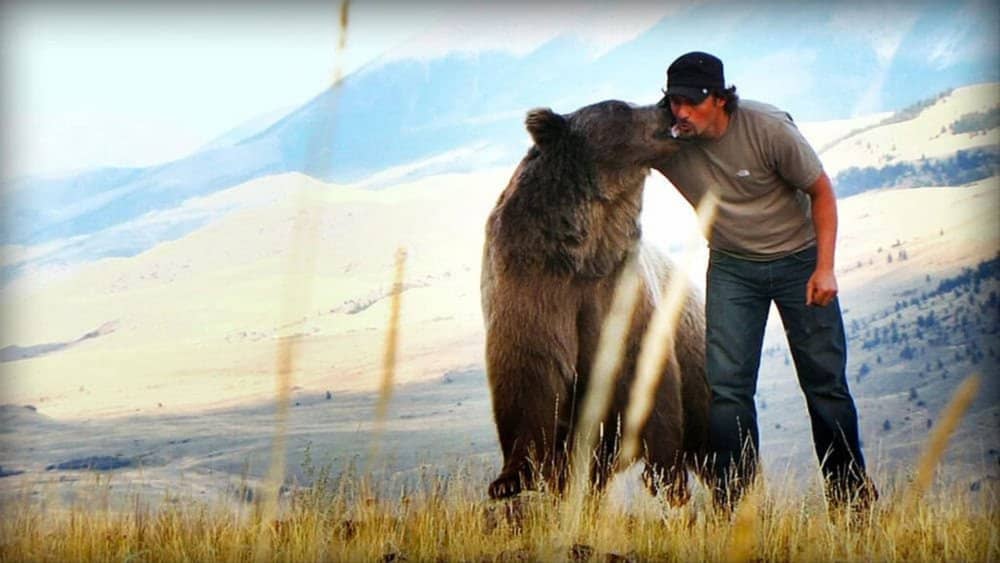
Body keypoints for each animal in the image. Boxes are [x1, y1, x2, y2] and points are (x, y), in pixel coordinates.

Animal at [480, 99, 711, 503]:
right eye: (619, 107)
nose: (666, 104)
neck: (586, 250)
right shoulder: (530, 282)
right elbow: (528, 367)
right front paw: (510, 479)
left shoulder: (623, 291)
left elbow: (648, 376)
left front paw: (666, 478)